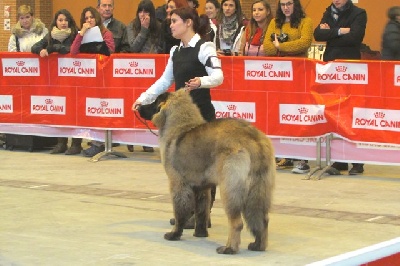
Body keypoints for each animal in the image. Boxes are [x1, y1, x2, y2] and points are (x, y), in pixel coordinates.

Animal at [138, 90, 276, 255]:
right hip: (259, 190)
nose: (138, 107)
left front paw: (175, 233)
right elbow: (202, 212)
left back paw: (229, 248)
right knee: (262, 219)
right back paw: (258, 245)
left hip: (230, 190)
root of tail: (253, 138)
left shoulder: (178, 184)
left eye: (153, 102)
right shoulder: (202, 188)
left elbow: (180, 212)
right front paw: (200, 233)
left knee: (237, 223)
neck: (181, 126)